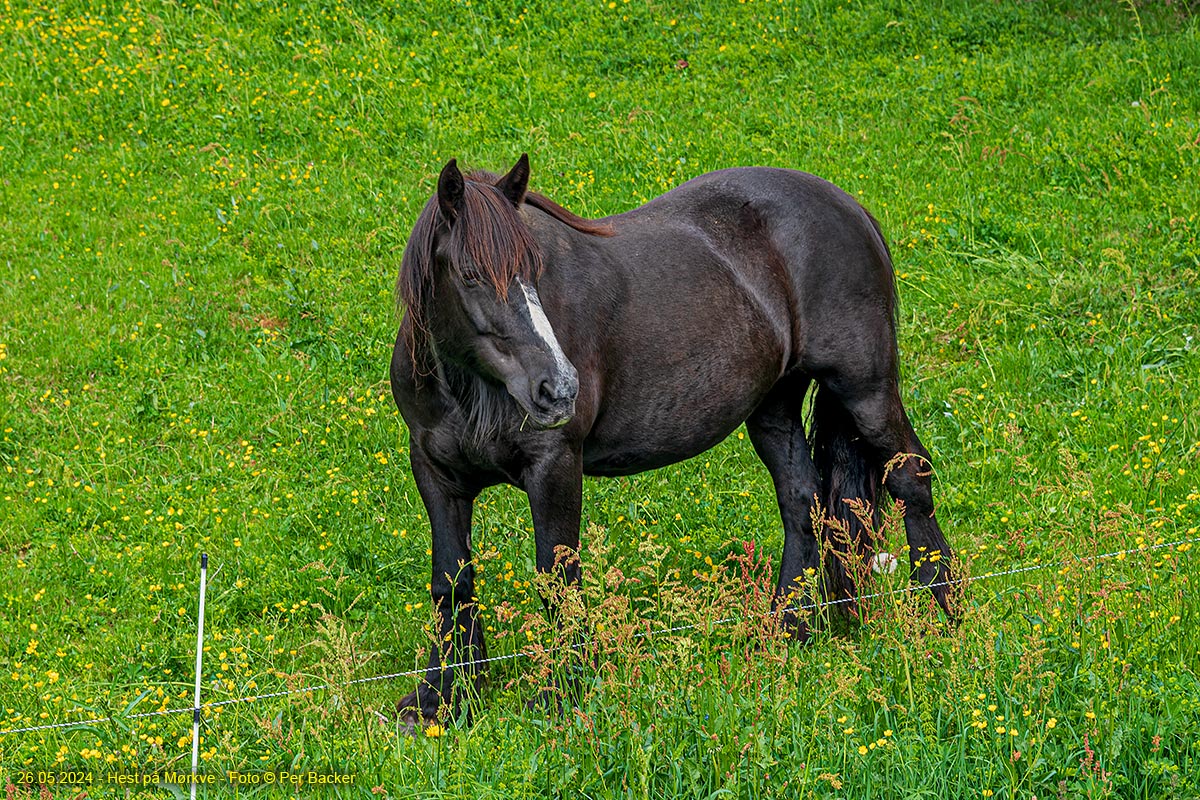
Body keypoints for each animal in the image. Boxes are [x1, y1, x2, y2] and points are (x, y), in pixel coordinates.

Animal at [393, 153, 955, 724]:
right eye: (470, 275)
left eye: (533, 271)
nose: (559, 388)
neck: (470, 387)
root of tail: (850, 207)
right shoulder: (437, 475)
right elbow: (451, 581)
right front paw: (441, 697)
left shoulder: (554, 465)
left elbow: (557, 579)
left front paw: (560, 691)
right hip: (773, 408)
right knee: (804, 501)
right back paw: (786, 631)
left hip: (865, 390)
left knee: (911, 478)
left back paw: (941, 621)